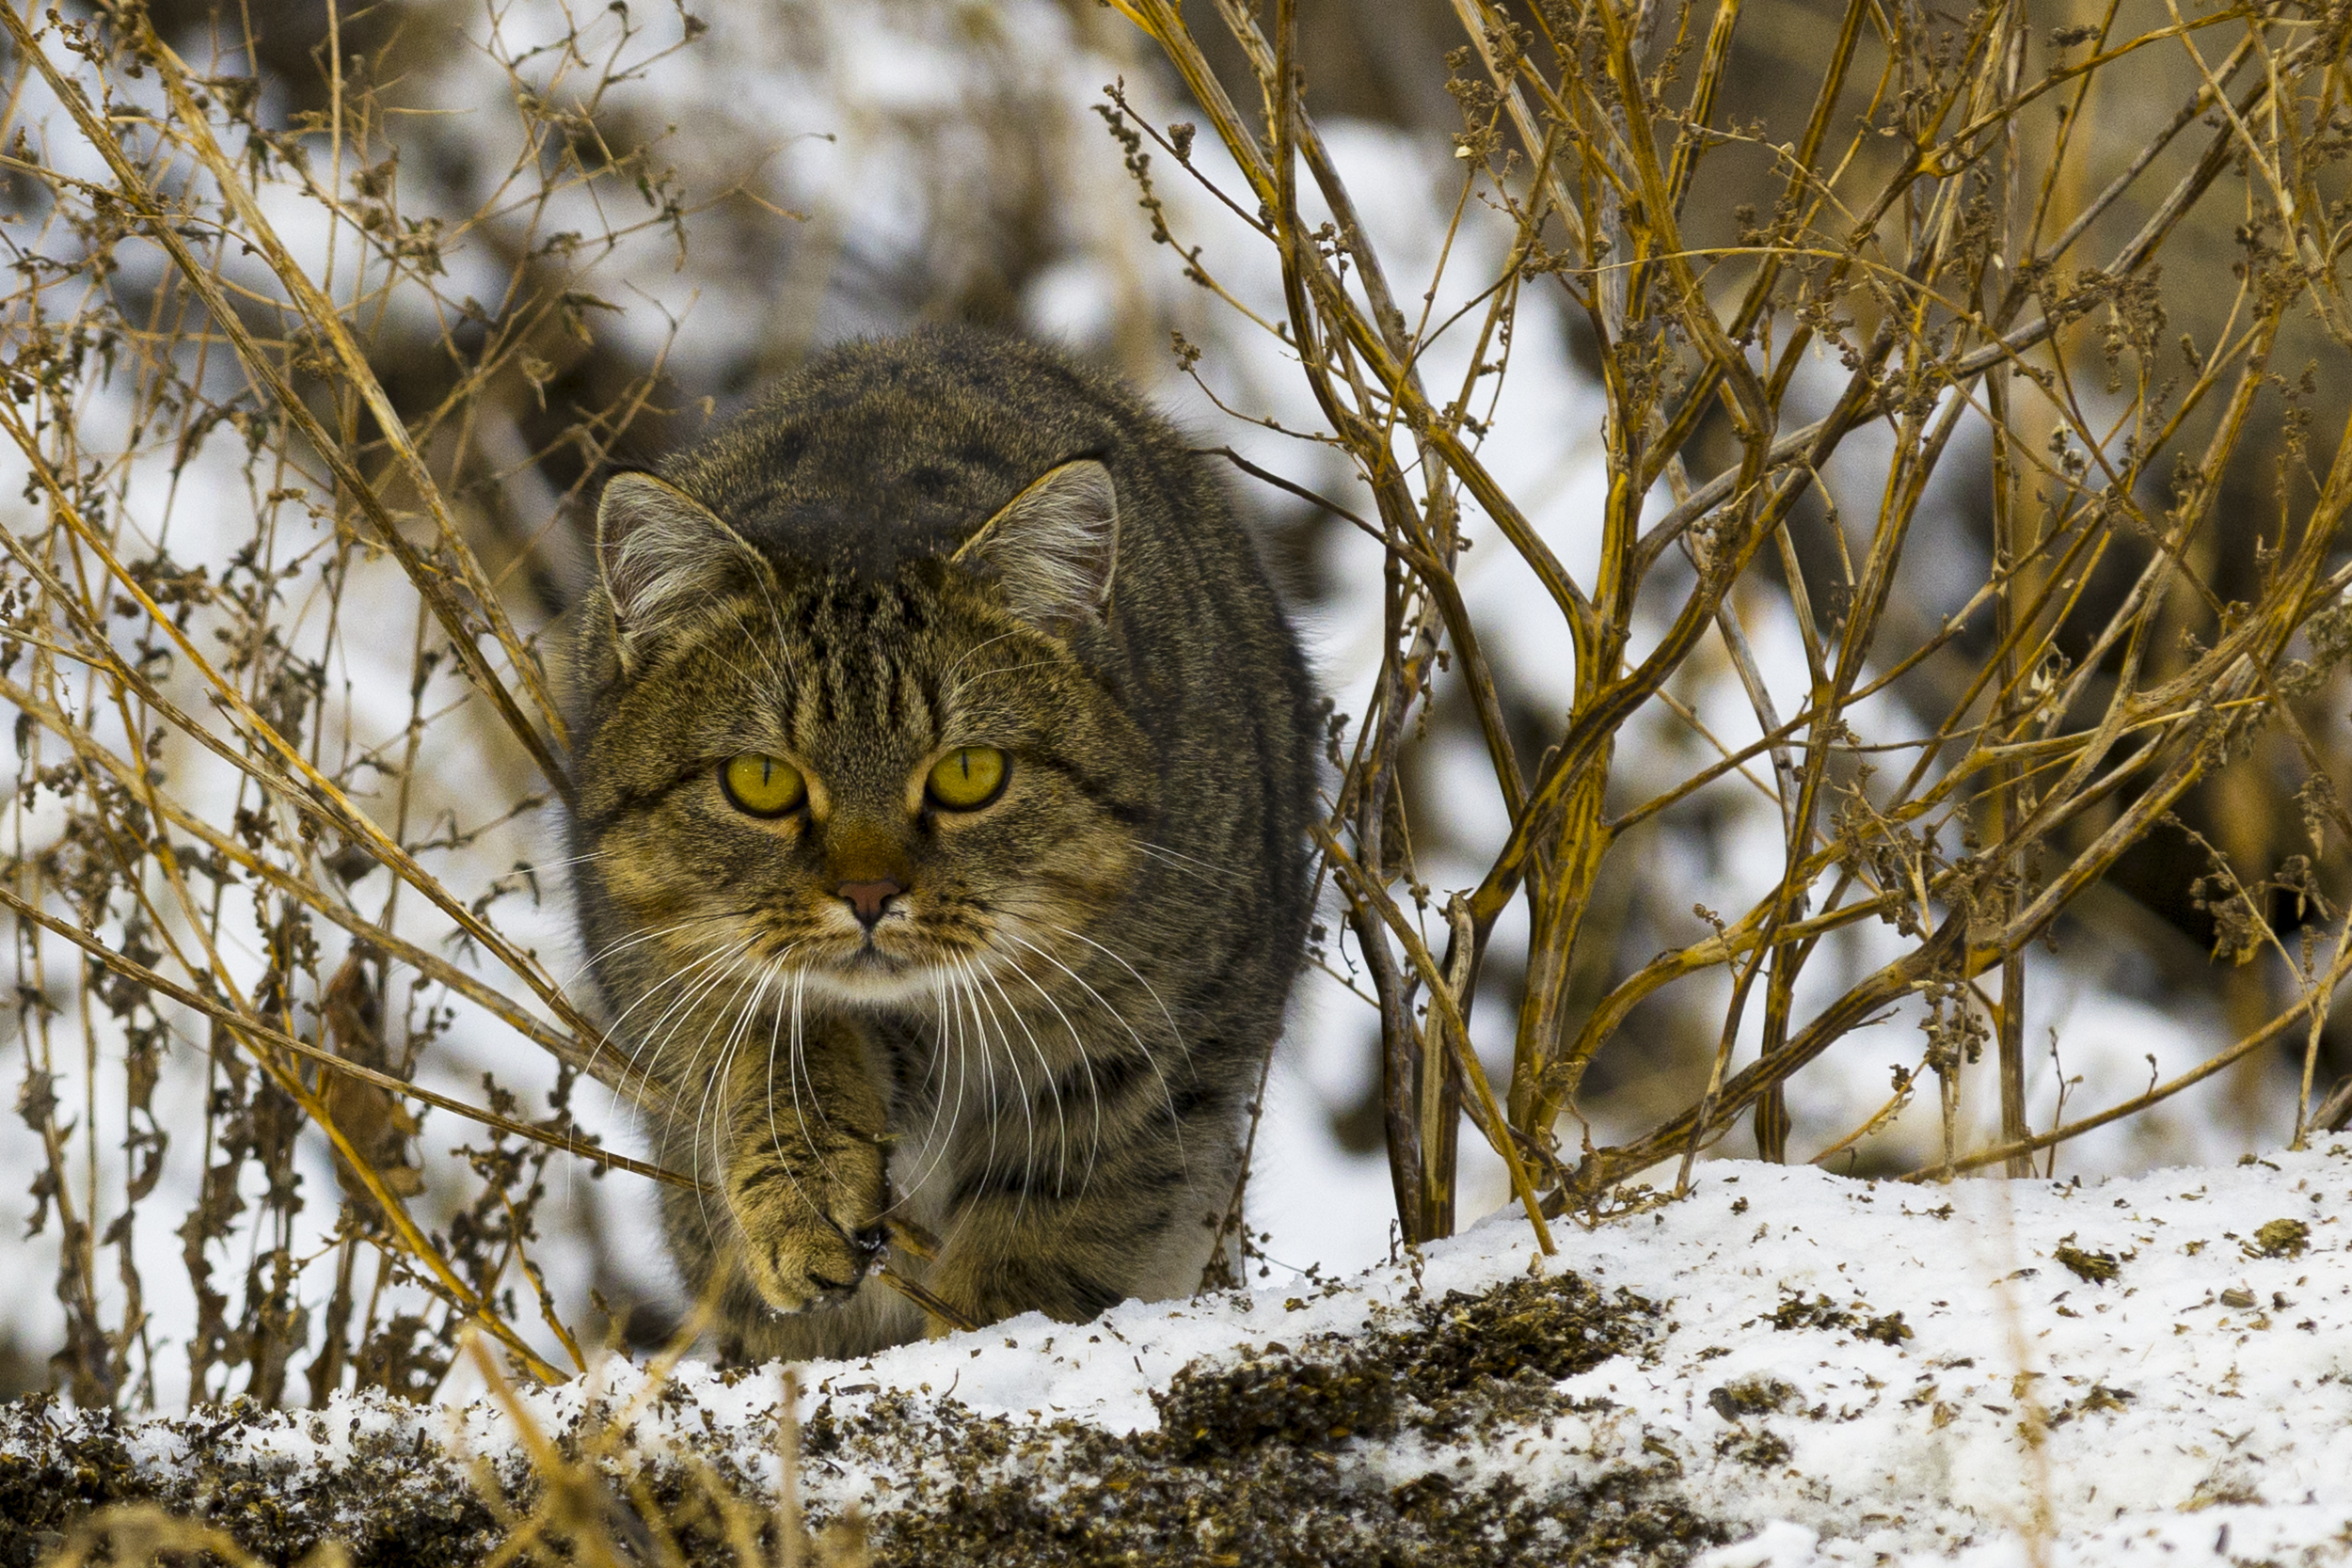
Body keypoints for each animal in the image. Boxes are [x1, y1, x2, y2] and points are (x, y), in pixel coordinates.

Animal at [557, 331, 1317, 1363]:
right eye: (762, 781)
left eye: (968, 772)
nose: (870, 893)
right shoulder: (672, 971)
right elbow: (772, 1061)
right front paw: (803, 1200)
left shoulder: (1159, 1037)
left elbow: (1059, 1215)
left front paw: (996, 1333)